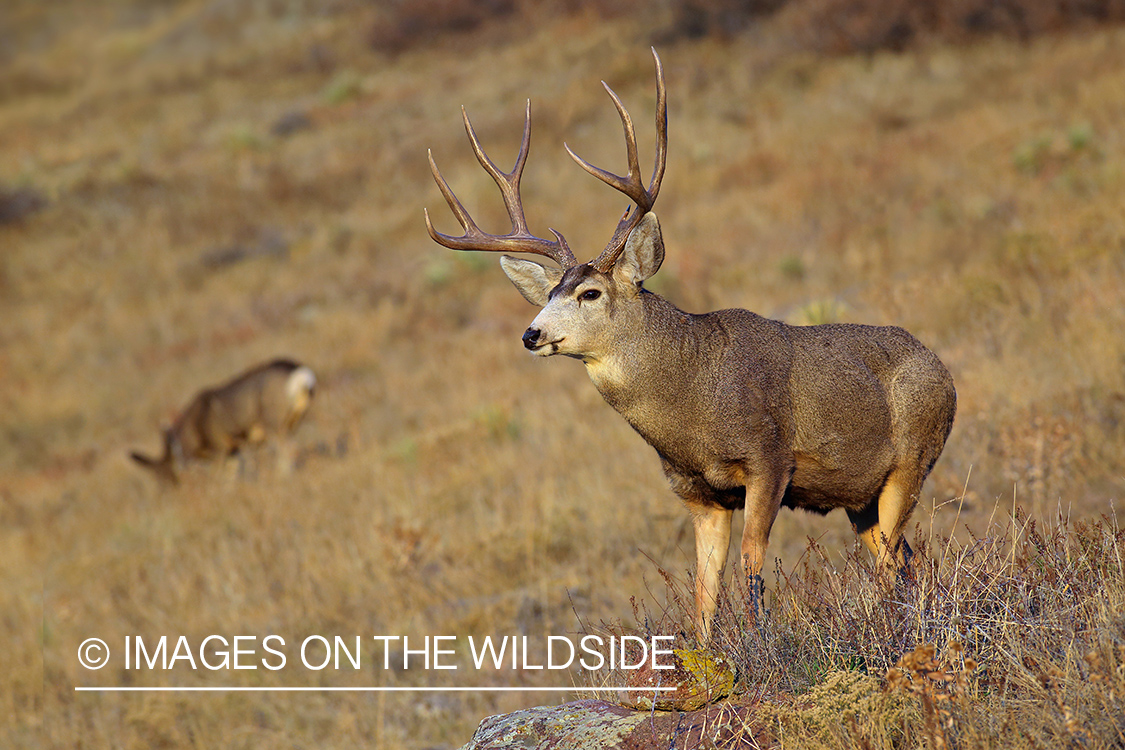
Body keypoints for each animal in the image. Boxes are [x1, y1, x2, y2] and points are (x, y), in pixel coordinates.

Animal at [130, 359, 317, 488]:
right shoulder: (233, 450)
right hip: (291, 423)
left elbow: (218, 475)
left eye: (164, 475)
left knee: (289, 450)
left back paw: (282, 479)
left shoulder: (219, 447)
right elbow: (230, 476)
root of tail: (301, 375)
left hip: (273, 425)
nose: (167, 492)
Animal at [425, 49, 954, 643]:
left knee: (896, 558)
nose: (531, 333)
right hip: (858, 497)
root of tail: (943, 370)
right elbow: (704, 590)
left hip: (913, 459)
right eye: (552, 292)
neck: (693, 403)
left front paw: (762, 641)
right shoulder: (697, 492)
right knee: (901, 560)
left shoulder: (769, 458)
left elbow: (752, 563)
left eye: (590, 292)